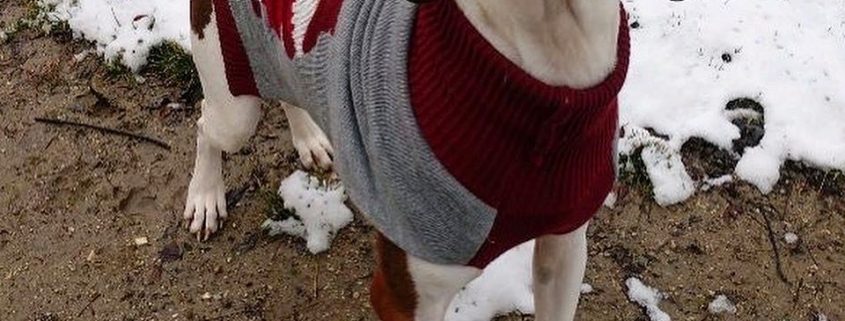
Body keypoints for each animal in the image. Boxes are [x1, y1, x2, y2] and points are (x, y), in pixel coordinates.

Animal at [186, 1, 628, 318]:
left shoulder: (564, 250)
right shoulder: (403, 297)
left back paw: (309, 138)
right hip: (232, 107)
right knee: (207, 123)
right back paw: (205, 196)